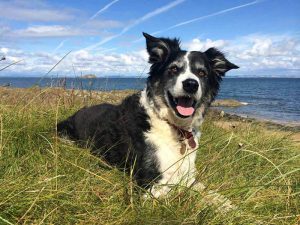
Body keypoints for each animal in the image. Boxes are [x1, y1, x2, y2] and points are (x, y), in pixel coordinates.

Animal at [57, 32, 238, 199]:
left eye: (202, 73)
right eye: (173, 69)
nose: (191, 84)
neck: (171, 124)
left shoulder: (188, 174)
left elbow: (215, 196)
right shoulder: (151, 183)